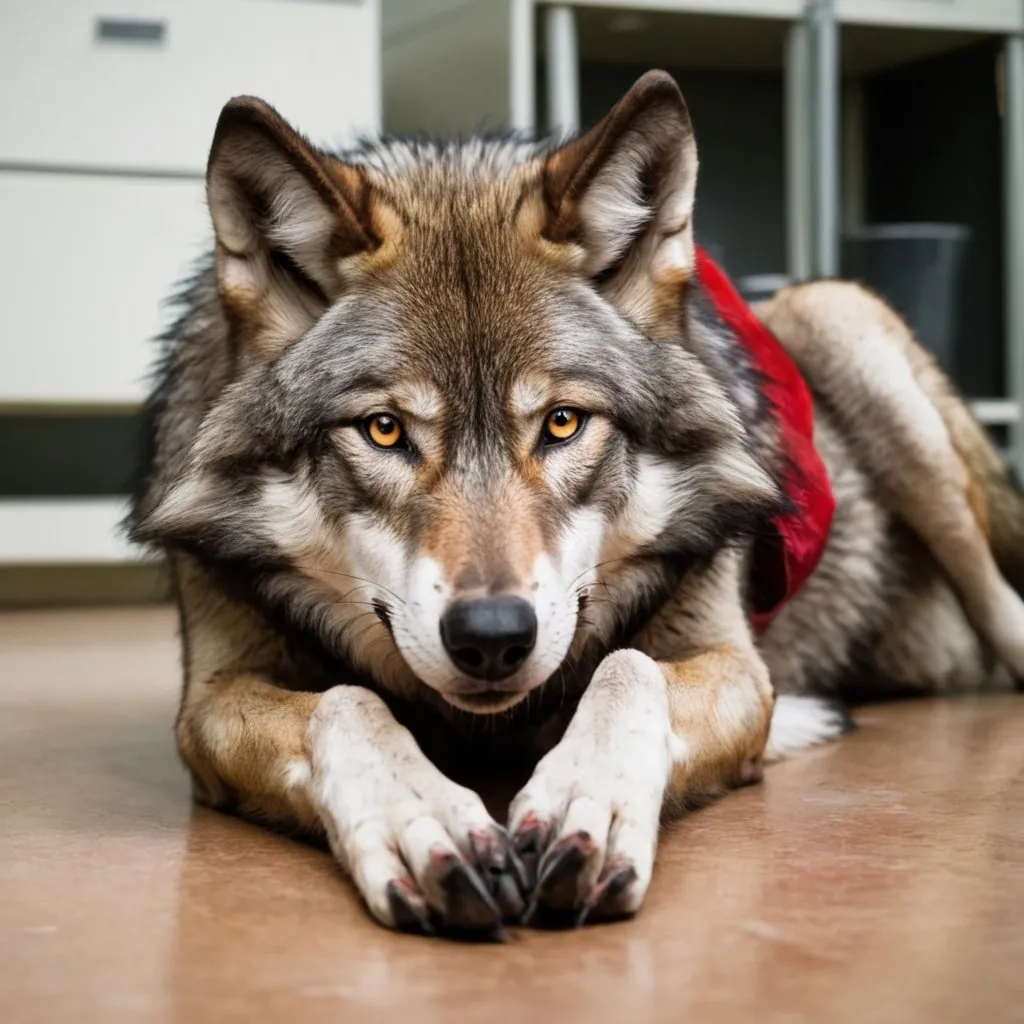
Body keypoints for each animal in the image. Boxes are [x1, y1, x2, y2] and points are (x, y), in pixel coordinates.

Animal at [130, 70, 1024, 937]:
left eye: (562, 422)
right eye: (384, 430)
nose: (492, 637)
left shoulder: (739, 667)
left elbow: (629, 669)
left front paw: (581, 806)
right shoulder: (207, 704)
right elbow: (348, 702)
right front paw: (429, 821)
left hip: (842, 323)